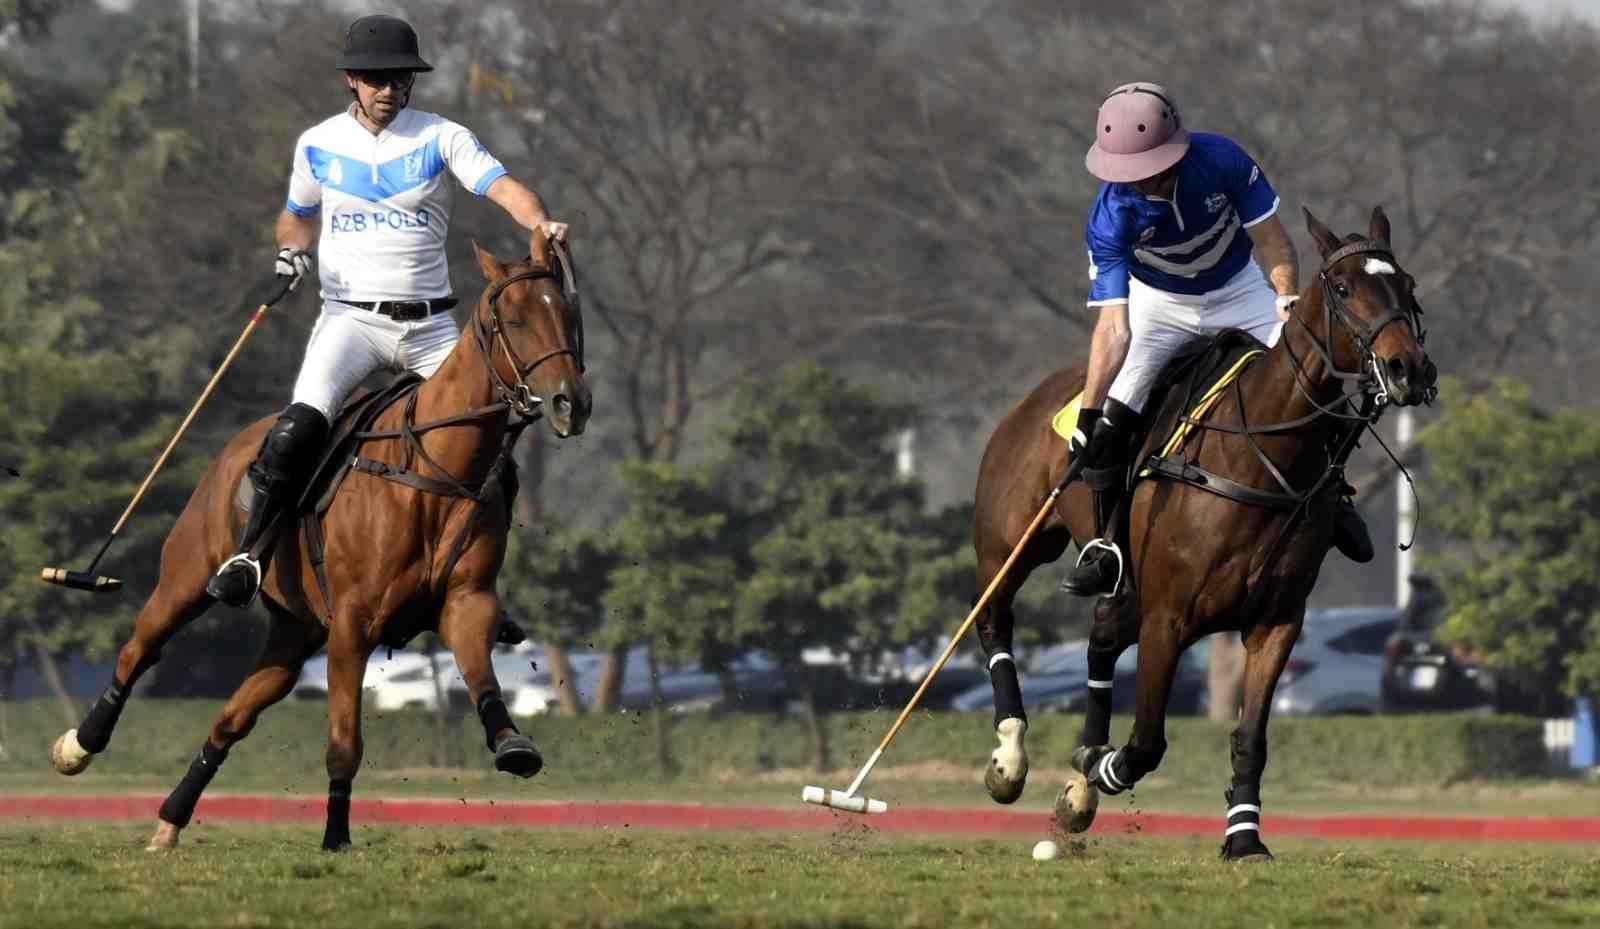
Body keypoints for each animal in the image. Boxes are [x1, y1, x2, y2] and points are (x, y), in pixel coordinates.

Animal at [46, 233, 592, 850]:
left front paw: (514, 745)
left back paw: (169, 820)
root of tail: (239, 443)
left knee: (230, 719)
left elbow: (481, 678)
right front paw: (335, 838)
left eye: (568, 315)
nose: (572, 403)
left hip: (295, 631)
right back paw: (79, 745)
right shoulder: (354, 623)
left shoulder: (467, 602)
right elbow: (344, 743)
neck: (436, 468)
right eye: (515, 319)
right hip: (186, 578)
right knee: (140, 650)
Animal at [966, 206, 1446, 857]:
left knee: (1100, 634)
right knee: (996, 621)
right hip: (1011, 544)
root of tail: (1037, 397)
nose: (1408, 369)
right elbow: (1147, 741)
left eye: (1409, 286)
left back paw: (1078, 788)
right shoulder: (1168, 617)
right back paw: (1011, 761)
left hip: (1127, 583)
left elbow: (1250, 738)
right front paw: (1101, 769)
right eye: (1344, 289)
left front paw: (1243, 838)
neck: (1263, 452)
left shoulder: (1276, 622)